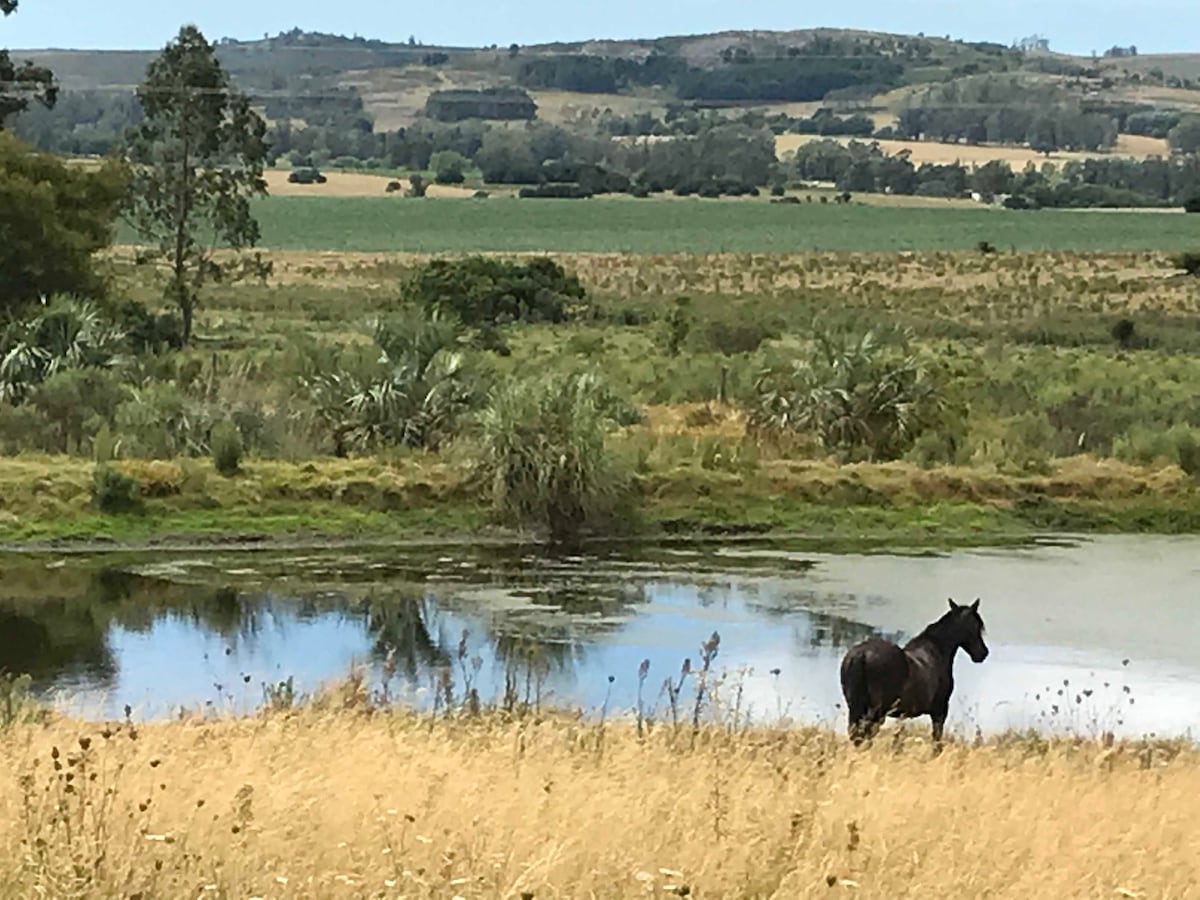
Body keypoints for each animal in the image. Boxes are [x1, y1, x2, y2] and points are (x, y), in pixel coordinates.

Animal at [840, 600, 988, 748]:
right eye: (976, 626)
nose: (983, 653)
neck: (938, 651)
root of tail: (861, 655)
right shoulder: (940, 710)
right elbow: (937, 743)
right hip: (876, 712)